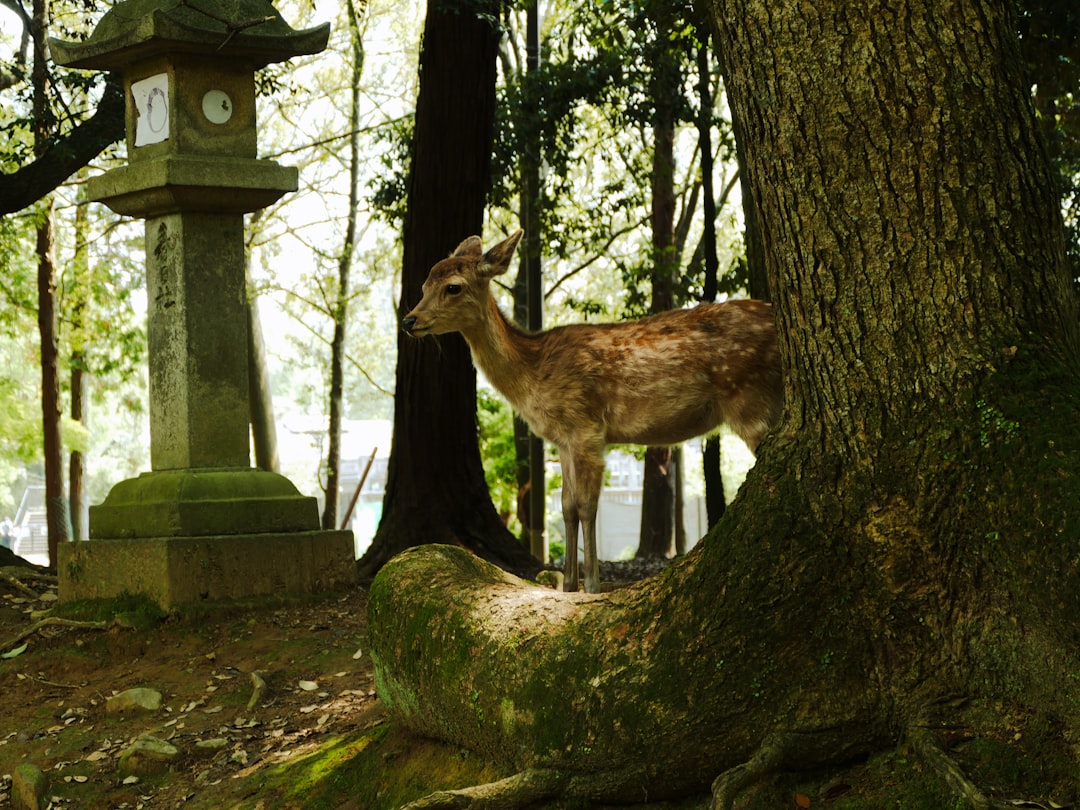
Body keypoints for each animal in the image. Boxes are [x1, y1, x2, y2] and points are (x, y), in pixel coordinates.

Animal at [401, 230, 783, 594]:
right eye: (423, 285)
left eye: (453, 287)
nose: (409, 319)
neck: (533, 371)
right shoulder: (562, 440)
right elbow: (566, 506)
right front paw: (570, 584)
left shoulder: (585, 427)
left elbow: (586, 506)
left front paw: (593, 586)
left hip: (748, 397)